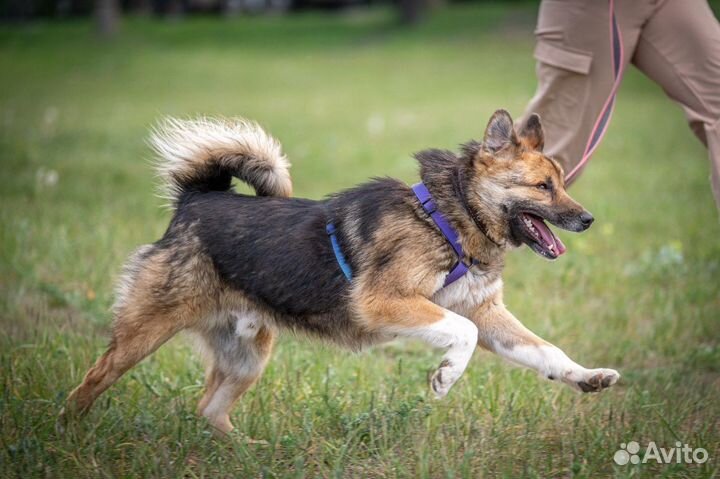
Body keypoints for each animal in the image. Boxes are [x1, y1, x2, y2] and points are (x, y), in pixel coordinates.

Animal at [63, 109, 620, 436]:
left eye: (563, 182)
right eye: (543, 186)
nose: (588, 219)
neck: (449, 217)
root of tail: (195, 201)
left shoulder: (487, 313)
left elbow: (546, 352)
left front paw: (588, 377)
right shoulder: (385, 302)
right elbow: (458, 333)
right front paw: (444, 378)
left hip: (247, 355)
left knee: (209, 411)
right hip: (144, 332)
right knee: (88, 384)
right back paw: (66, 432)